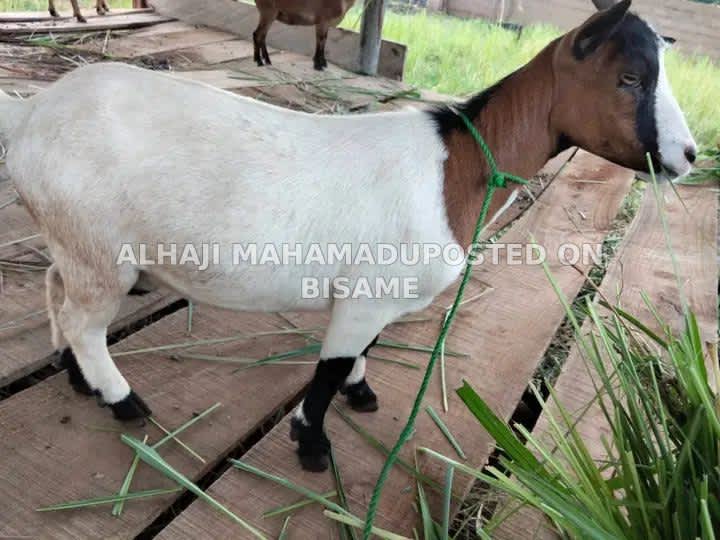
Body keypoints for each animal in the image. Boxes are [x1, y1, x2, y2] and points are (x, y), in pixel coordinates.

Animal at [0, 0, 696, 472]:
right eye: (630, 78)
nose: (689, 156)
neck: (454, 169)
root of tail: (33, 113)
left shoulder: (378, 295)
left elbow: (363, 353)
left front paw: (360, 394)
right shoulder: (365, 295)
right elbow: (331, 366)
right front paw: (312, 445)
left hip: (75, 241)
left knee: (57, 291)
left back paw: (78, 376)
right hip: (100, 248)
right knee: (85, 318)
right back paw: (122, 399)